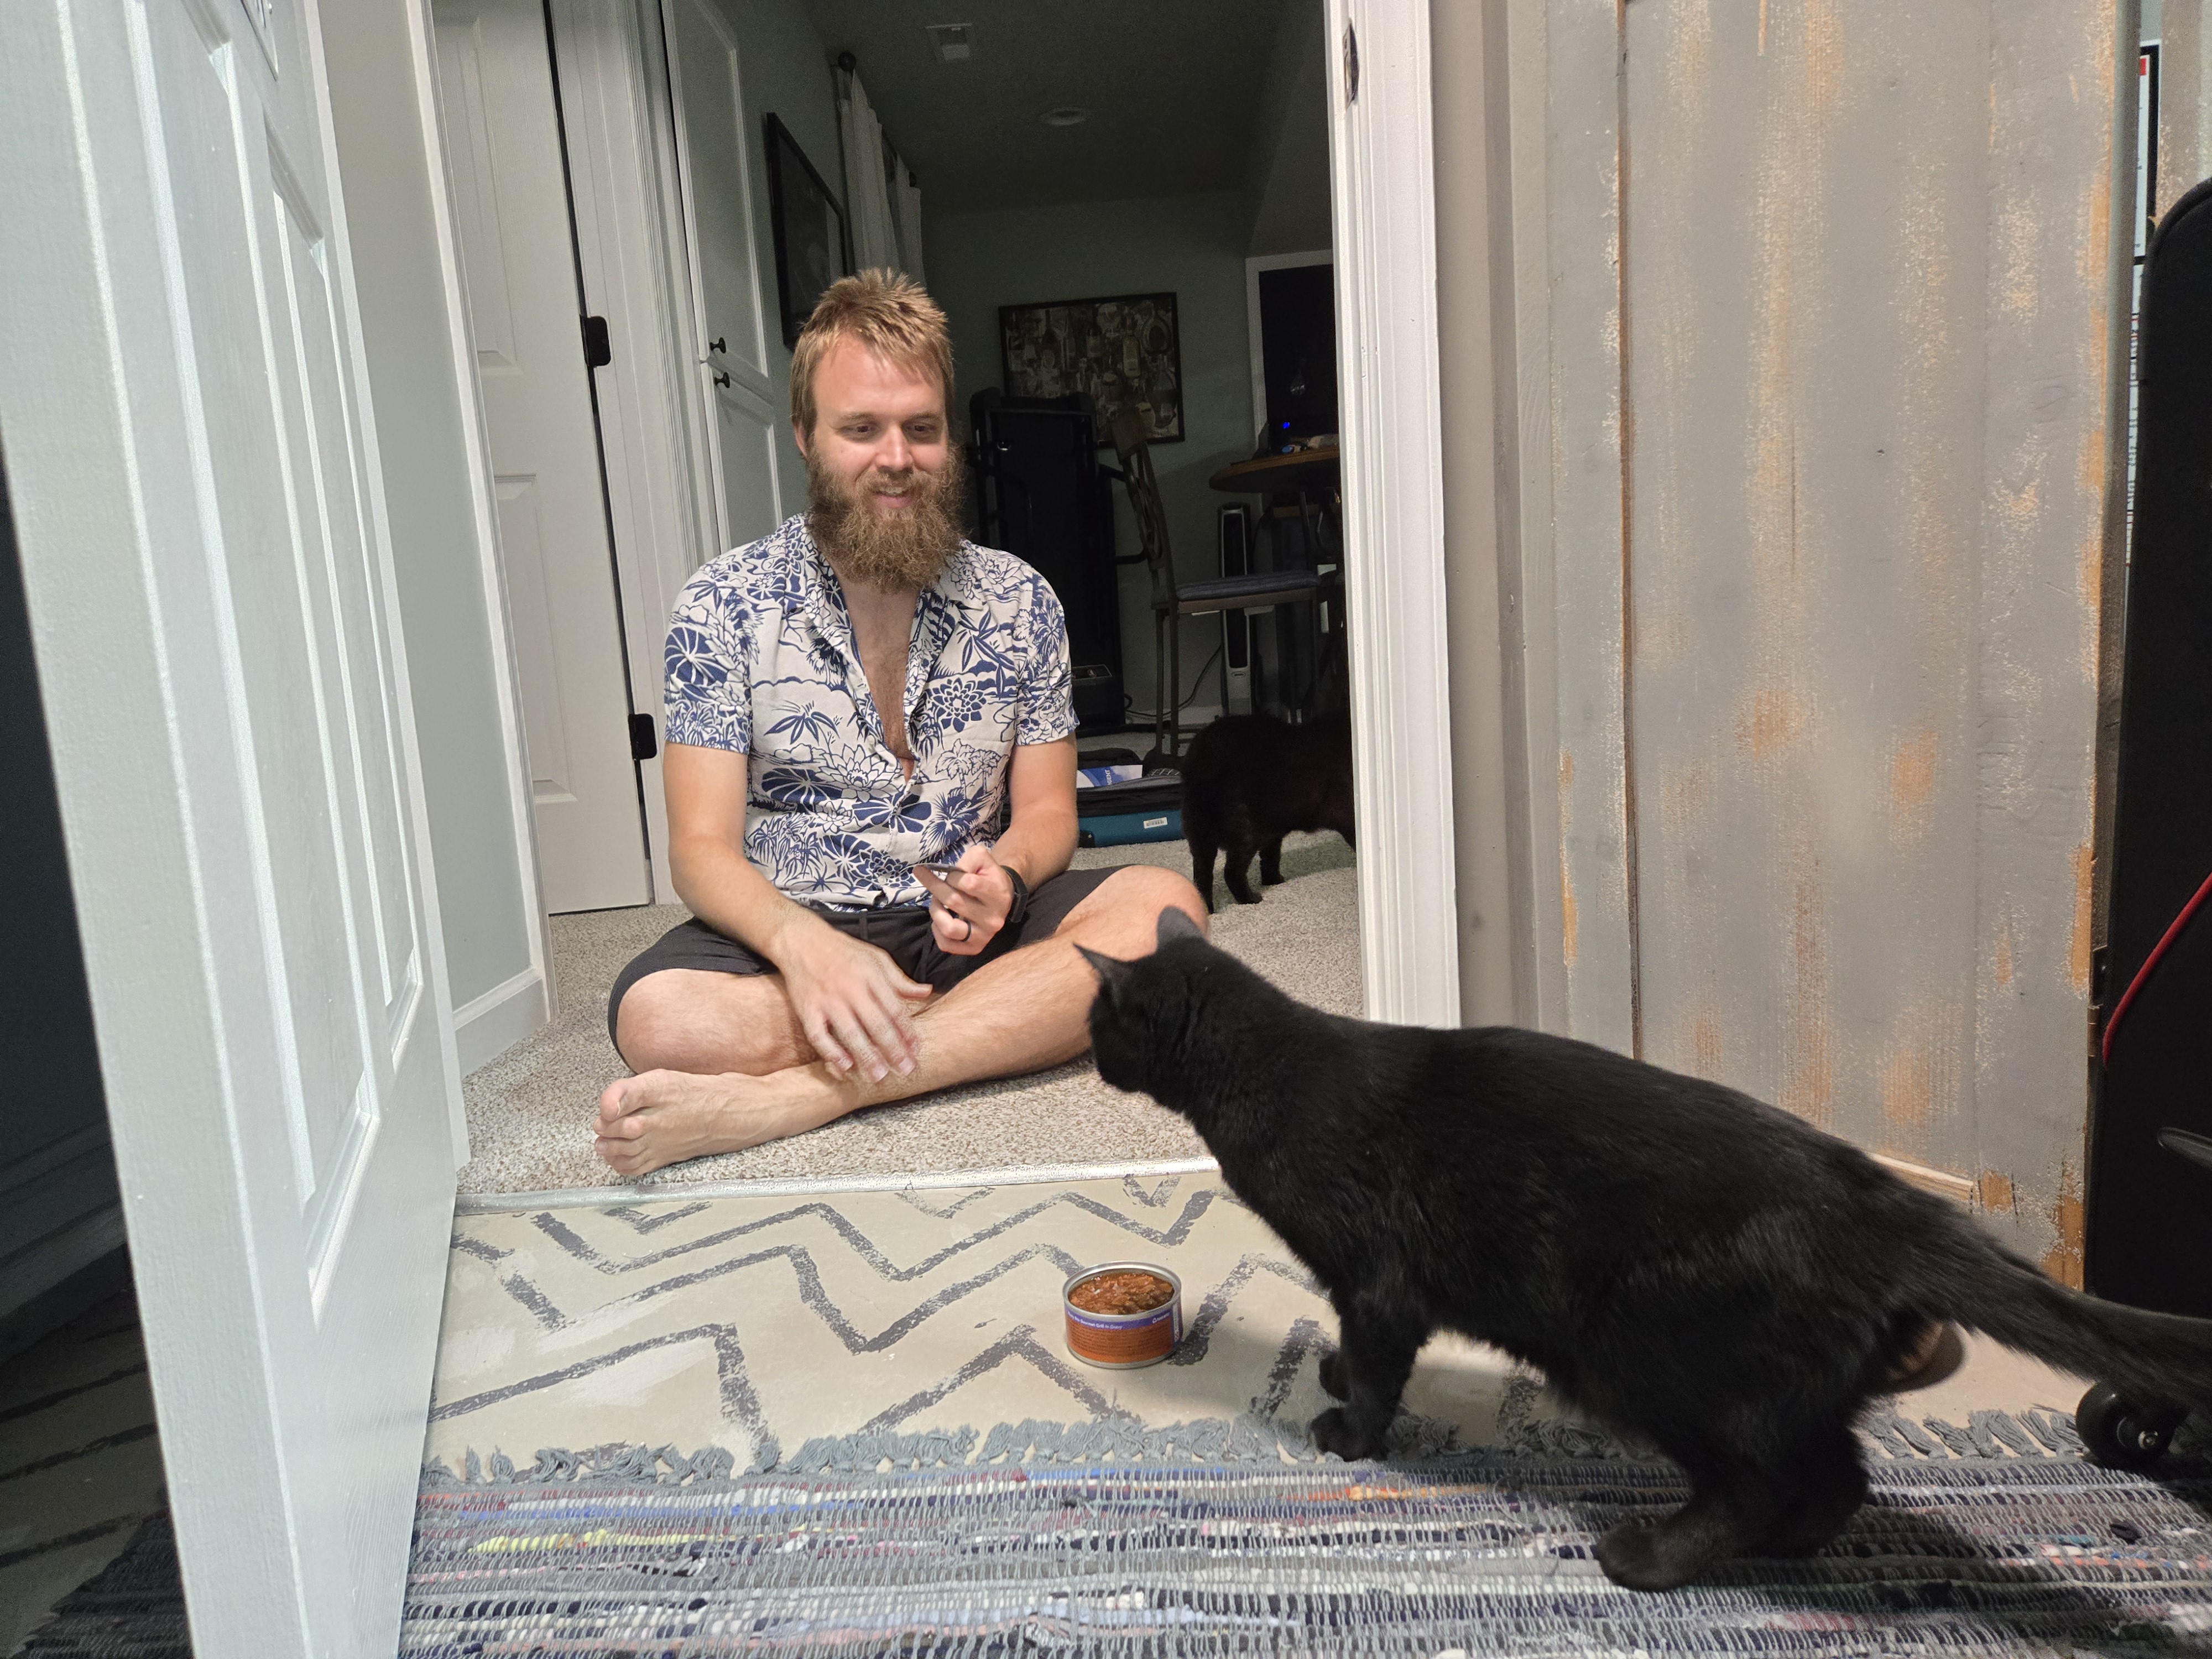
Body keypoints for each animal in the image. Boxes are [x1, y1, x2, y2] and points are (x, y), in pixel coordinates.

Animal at [1079, 911, 2212, 1601]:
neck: (1269, 1069)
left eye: (1100, 1022)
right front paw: (1329, 1376)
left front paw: (1351, 1435)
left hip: (1638, 1357)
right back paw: (1789, 1546)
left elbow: (1376, 1370)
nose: (1088, 1055)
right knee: (1837, 1473)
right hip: (1778, 1384)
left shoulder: (1380, 1285)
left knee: (1756, 1479)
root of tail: (1876, 1198)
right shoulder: (1367, 1292)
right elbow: (1354, 1354)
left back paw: (1650, 1557)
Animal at [1177, 703, 1345, 911]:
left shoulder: (1273, 832)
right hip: (1244, 831)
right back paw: (1250, 899)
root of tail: (1203, 756)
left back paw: (1207, 911)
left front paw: (1273, 880)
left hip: (1200, 835)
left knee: (1202, 878)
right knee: (1231, 872)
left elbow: (1270, 857)